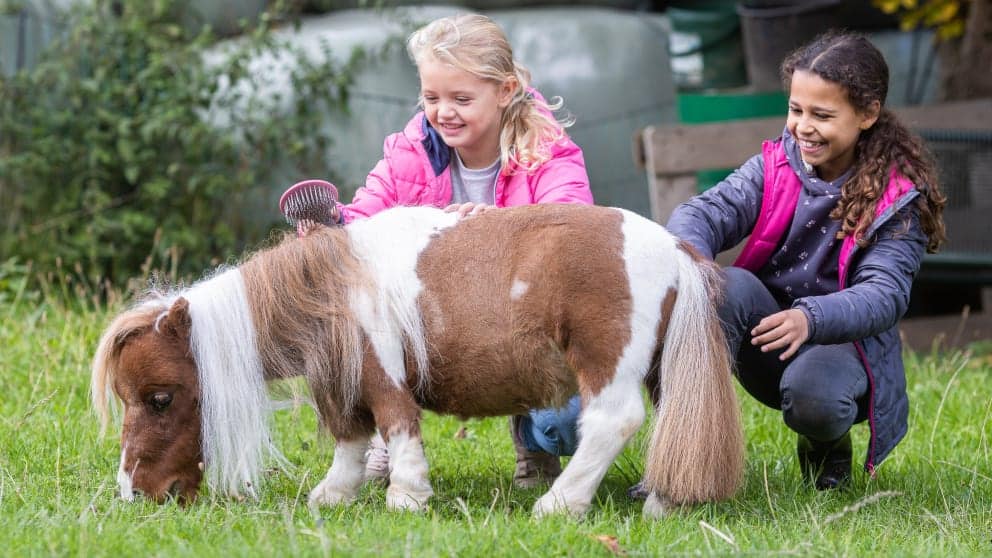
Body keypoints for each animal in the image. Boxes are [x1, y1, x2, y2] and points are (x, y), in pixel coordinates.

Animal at [93, 205, 744, 520]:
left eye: (159, 398)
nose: (134, 493)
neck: (330, 287)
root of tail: (674, 248)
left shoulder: (381, 372)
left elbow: (396, 424)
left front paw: (406, 495)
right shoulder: (342, 382)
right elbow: (351, 439)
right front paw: (335, 494)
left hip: (607, 363)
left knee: (613, 422)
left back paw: (560, 504)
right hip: (661, 369)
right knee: (674, 423)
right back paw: (663, 500)